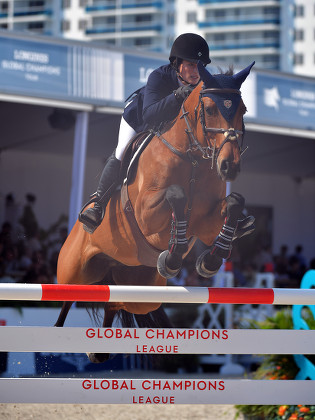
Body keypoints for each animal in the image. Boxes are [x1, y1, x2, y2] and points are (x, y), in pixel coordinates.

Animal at [55, 60, 256, 362]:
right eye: (210, 109)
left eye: (242, 110)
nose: (229, 167)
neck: (193, 160)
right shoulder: (146, 215)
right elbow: (176, 196)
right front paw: (174, 256)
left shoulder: (207, 223)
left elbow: (233, 203)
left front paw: (209, 260)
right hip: (74, 272)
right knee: (68, 296)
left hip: (142, 292)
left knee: (116, 301)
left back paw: (99, 351)